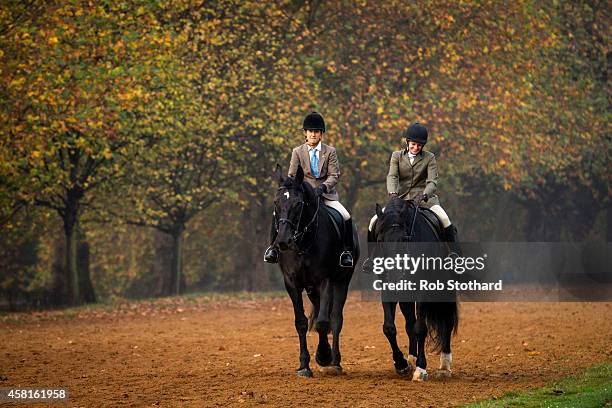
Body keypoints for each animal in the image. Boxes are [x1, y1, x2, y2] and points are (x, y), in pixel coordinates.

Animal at [272, 163, 358, 376]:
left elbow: (323, 322)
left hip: (342, 281)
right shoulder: (292, 283)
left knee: (335, 318)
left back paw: (335, 361)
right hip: (312, 289)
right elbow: (301, 322)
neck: (303, 242)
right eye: (276, 202)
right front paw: (304, 365)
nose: (283, 241)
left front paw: (324, 356)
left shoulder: (325, 280)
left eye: (298, 204)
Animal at [368, 196, 460, 380]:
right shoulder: (387, 289)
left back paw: (444, 365)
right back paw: (411, 358)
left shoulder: (423, 289)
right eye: (380, 240)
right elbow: (389, 328)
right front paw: (401, 363)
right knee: (409, 324)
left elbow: (420, 328)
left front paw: (421, 369)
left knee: (447, 321)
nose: (395, 277)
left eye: (404, 240)